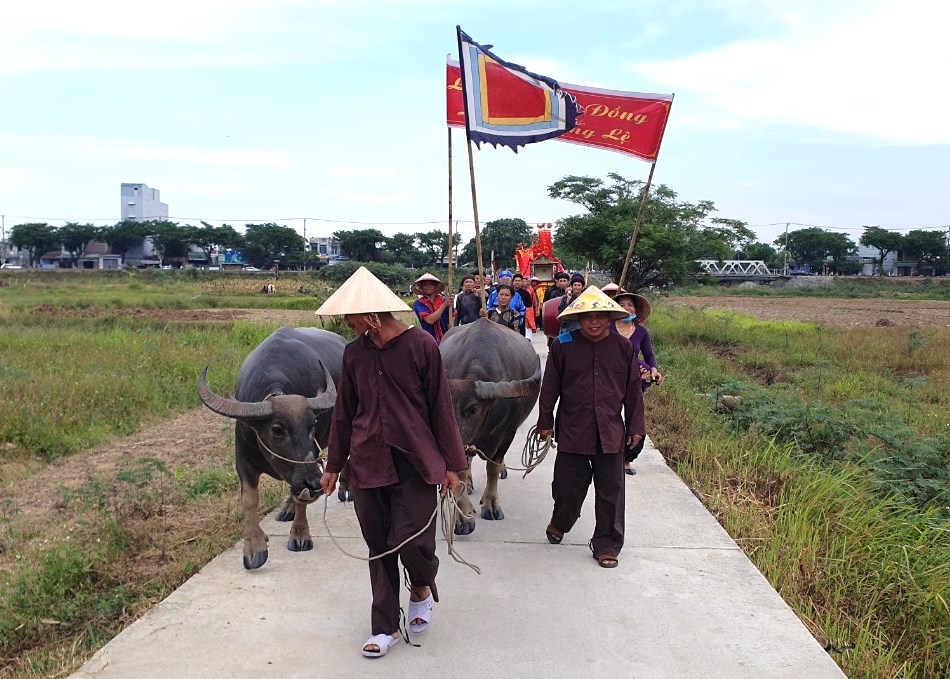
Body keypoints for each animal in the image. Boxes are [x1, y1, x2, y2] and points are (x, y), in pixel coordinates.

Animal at [197, 326, 346, 572]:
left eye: (313, 424)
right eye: (277, 429)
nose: (315, 484)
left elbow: (300, 498)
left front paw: (300, 535)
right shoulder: (243, 460)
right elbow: (250, 499)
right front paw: (254, 547)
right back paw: (287, 510)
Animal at [440, 318, 540, 536]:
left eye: (473, 410)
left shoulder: (507, 433)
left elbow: (492, 467)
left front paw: (491, 505)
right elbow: (460, 474)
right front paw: (463, 516)